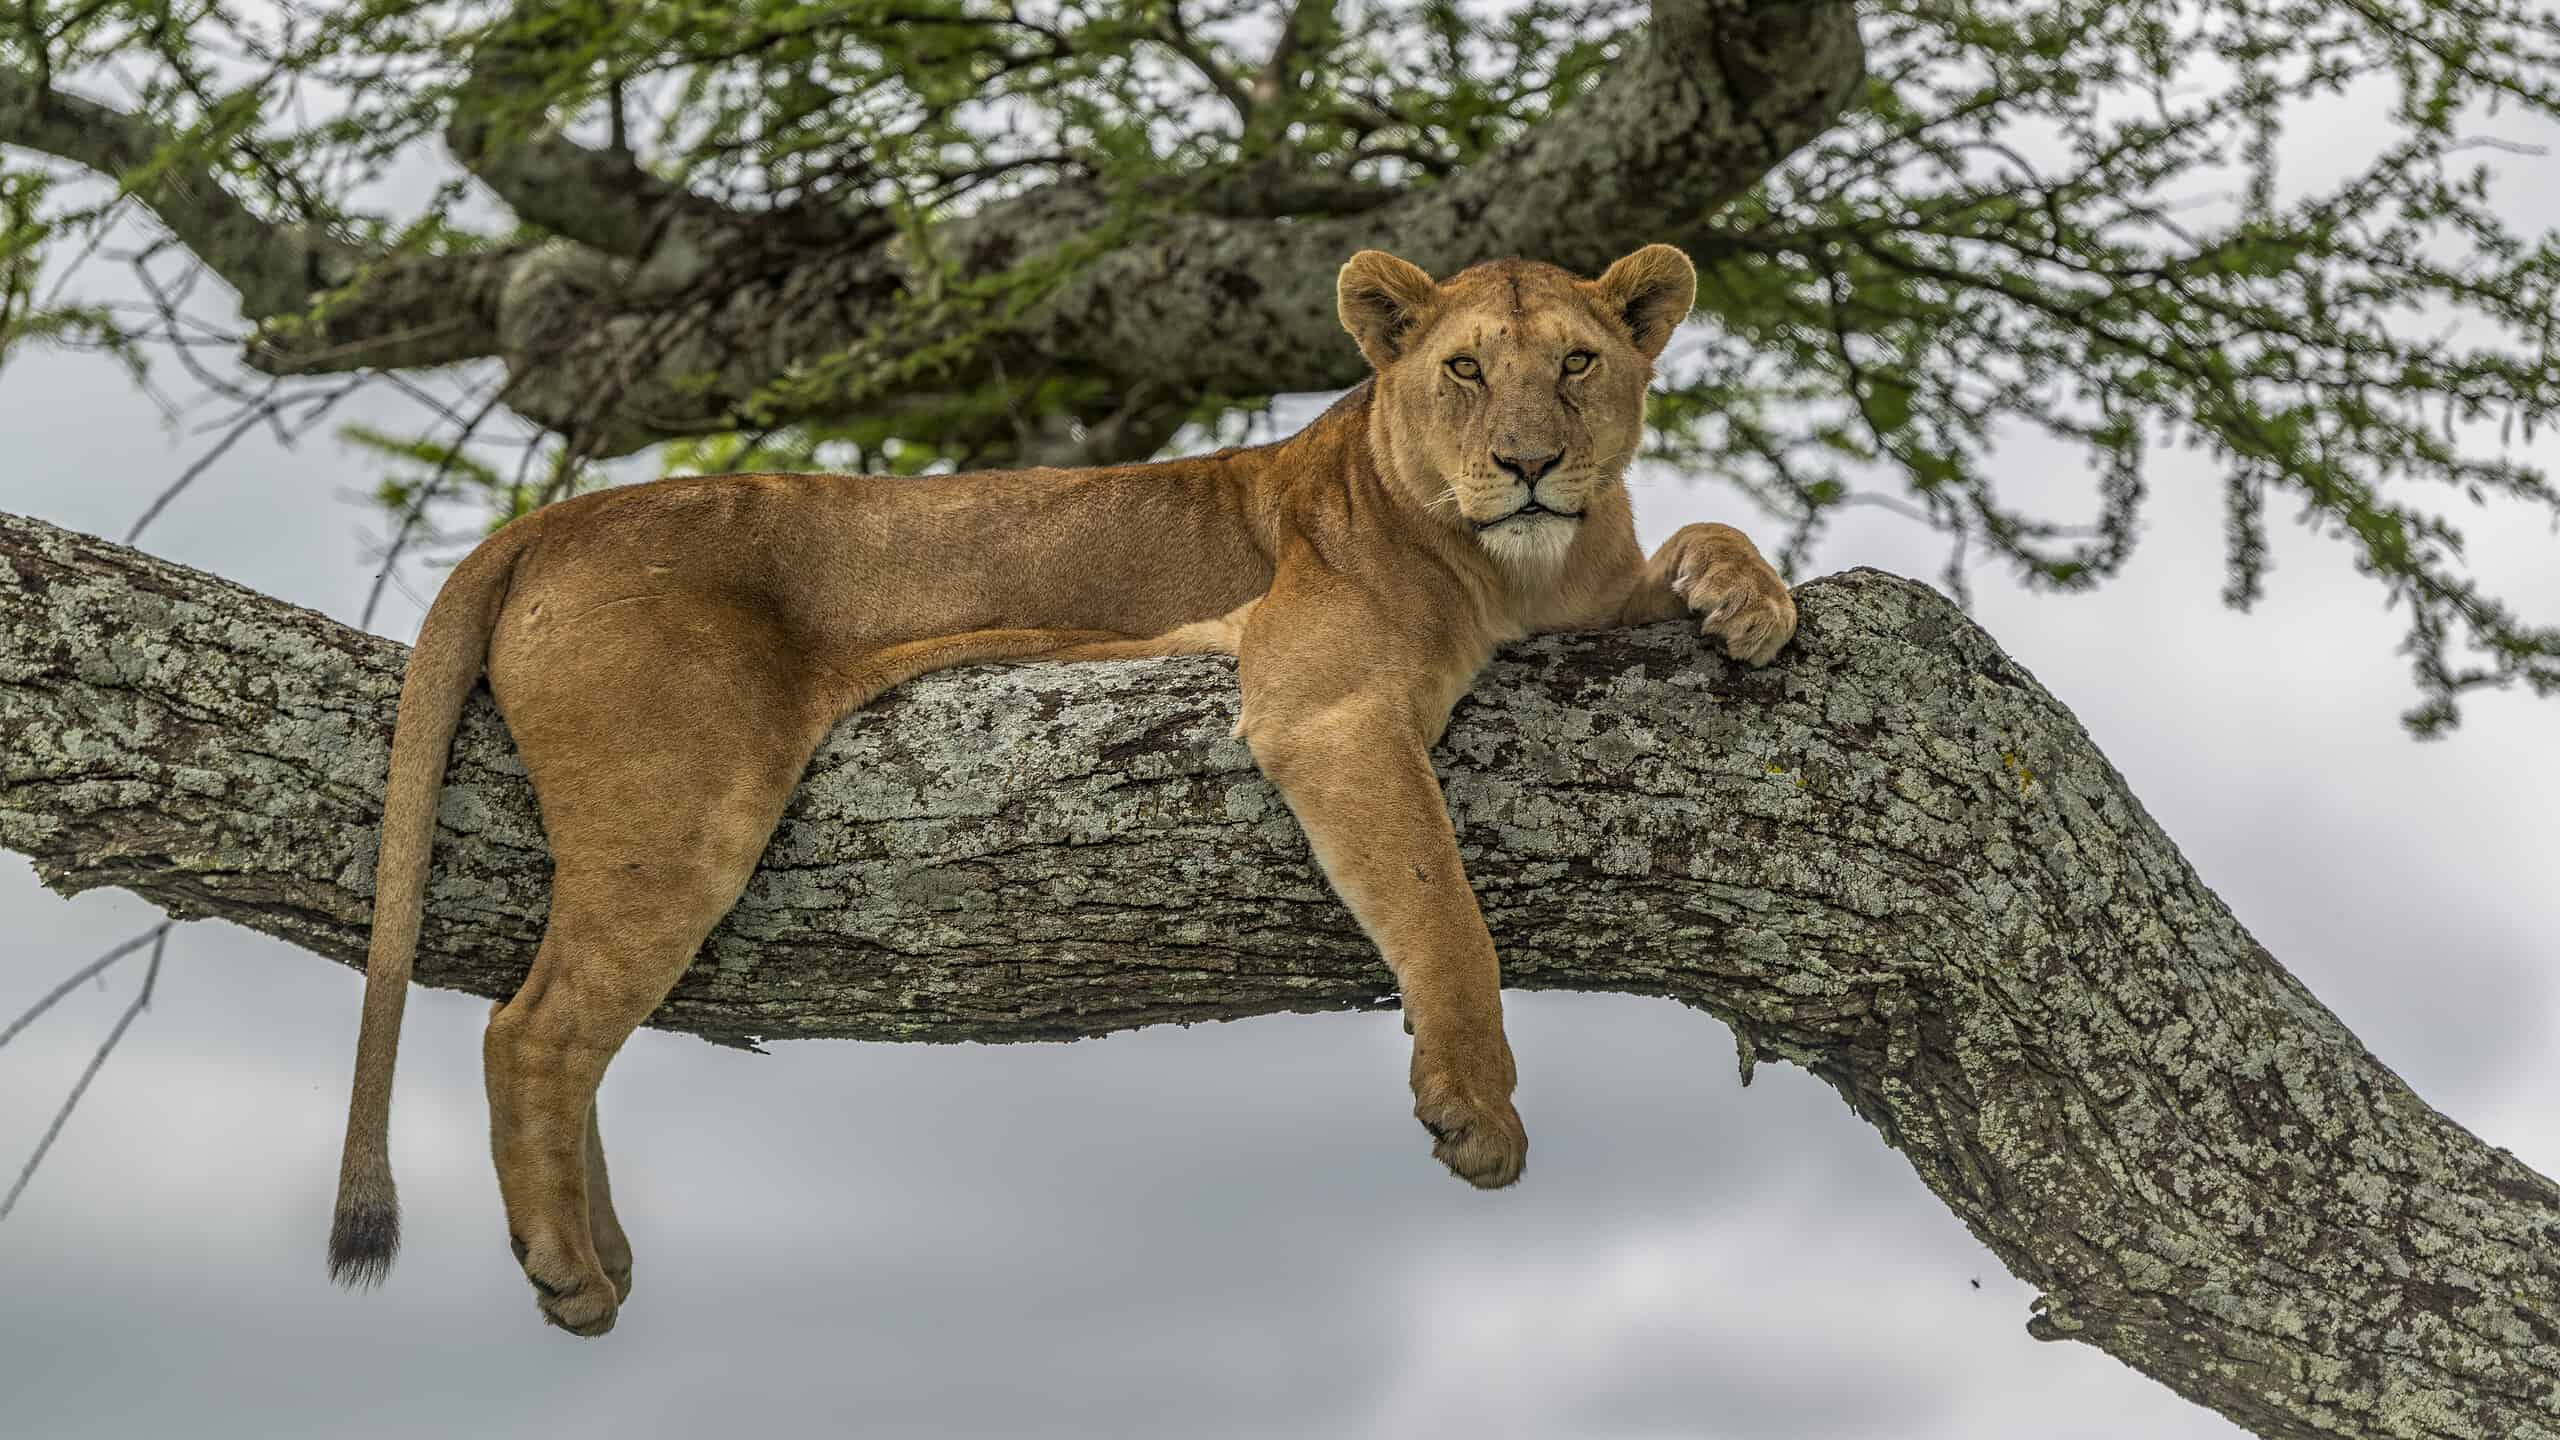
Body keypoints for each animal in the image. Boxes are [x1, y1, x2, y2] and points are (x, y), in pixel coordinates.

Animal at [328, 242, 1797, 1335]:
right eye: (1465, 371)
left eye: (1578, 363)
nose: (1530, 463)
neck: (1520, 570)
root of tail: (552, 519)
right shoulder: (1320, 706)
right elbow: (1444, 909)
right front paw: (1477, 1109)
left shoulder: (1585, 595)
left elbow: (1702, 529)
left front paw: (1751, 600)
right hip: (679, 809)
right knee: (533, 1029)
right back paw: (570, 1268)